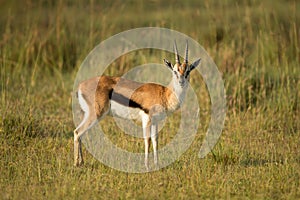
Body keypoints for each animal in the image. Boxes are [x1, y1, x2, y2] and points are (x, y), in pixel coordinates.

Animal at [74, 41, 202, 169]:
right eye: (175, 71)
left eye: (188, 71)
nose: (181, 82)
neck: (164, 94)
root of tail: (81, 86)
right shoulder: (147, 119)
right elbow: (147, 140)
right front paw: (147, 166)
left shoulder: (155, 121)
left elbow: (155, 141)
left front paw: (157, 164)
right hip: (96, 114)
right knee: (77, 132)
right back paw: (76, 164)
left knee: (80, 134)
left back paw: (81, 162)